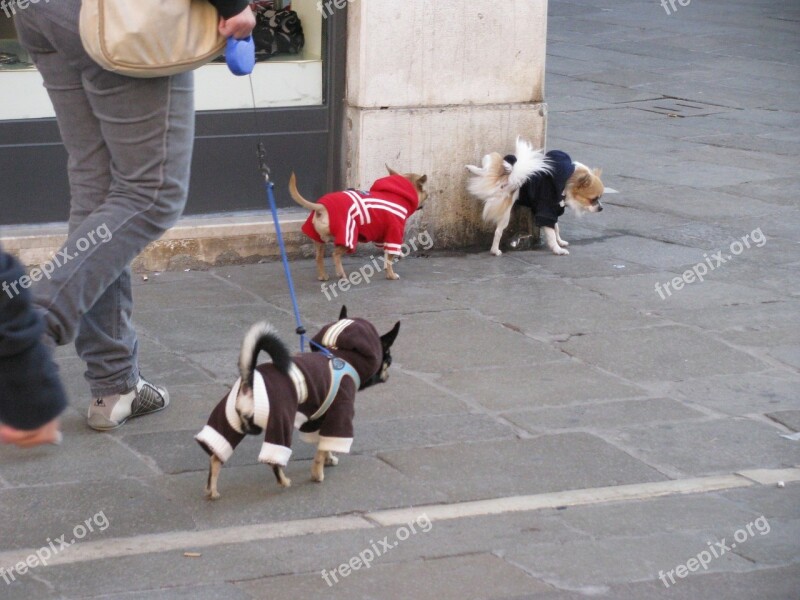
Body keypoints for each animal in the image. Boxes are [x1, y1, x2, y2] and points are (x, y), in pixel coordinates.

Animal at [196, 308, 400, 500]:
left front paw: (329, 458)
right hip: (280, 420)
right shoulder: (340, 412)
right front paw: (317, 474)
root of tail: (249, 381)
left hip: (228, 421)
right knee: (273, 459)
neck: (343, 356)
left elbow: (323, 444)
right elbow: (322, 450)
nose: (389, 374)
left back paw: (212, 491)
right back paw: (284, 481)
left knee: (216, 457)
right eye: (389, 359)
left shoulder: (317, 418)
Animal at [466, 138, 604, 255]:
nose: (601, 208)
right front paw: (557, 249)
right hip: (505, 214)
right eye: (593, 199)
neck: (566, 183)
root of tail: (509, 177)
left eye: (599, 198)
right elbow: (551, 233)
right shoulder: (546, 209)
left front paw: (560, 242)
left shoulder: (552, 210)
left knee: (487, 170)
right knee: (498, 231)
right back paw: (495, 250)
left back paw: (472, 168)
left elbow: (556, 227)